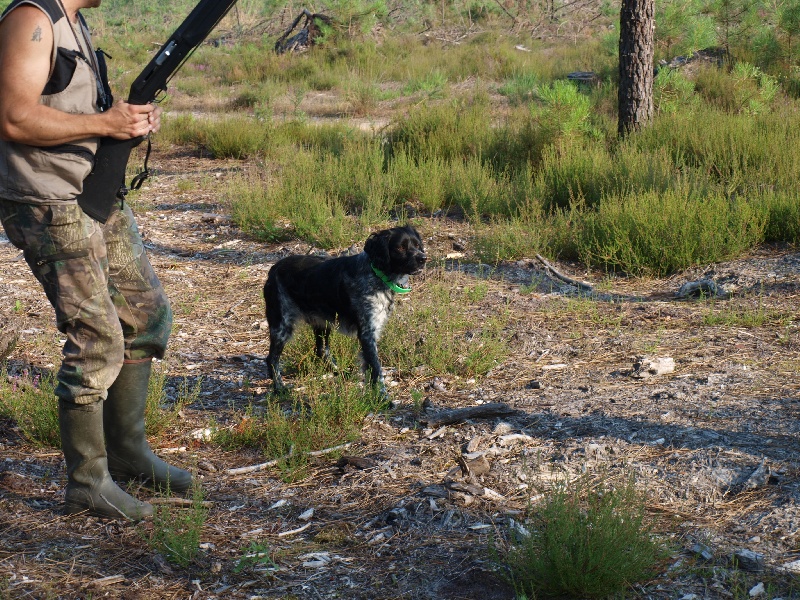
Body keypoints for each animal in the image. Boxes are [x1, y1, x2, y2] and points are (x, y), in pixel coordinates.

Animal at [262, 223, 424, 396]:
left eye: (417, 245)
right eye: (400, 247)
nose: (423, 258)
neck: (376, 273)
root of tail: (274, 269)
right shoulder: (367, 333)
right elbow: (376, 370)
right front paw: (382, 397)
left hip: (322, 322)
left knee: (321, 350)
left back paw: (338, 371)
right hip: (282, 325)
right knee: (272, 358)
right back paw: (279, 387)